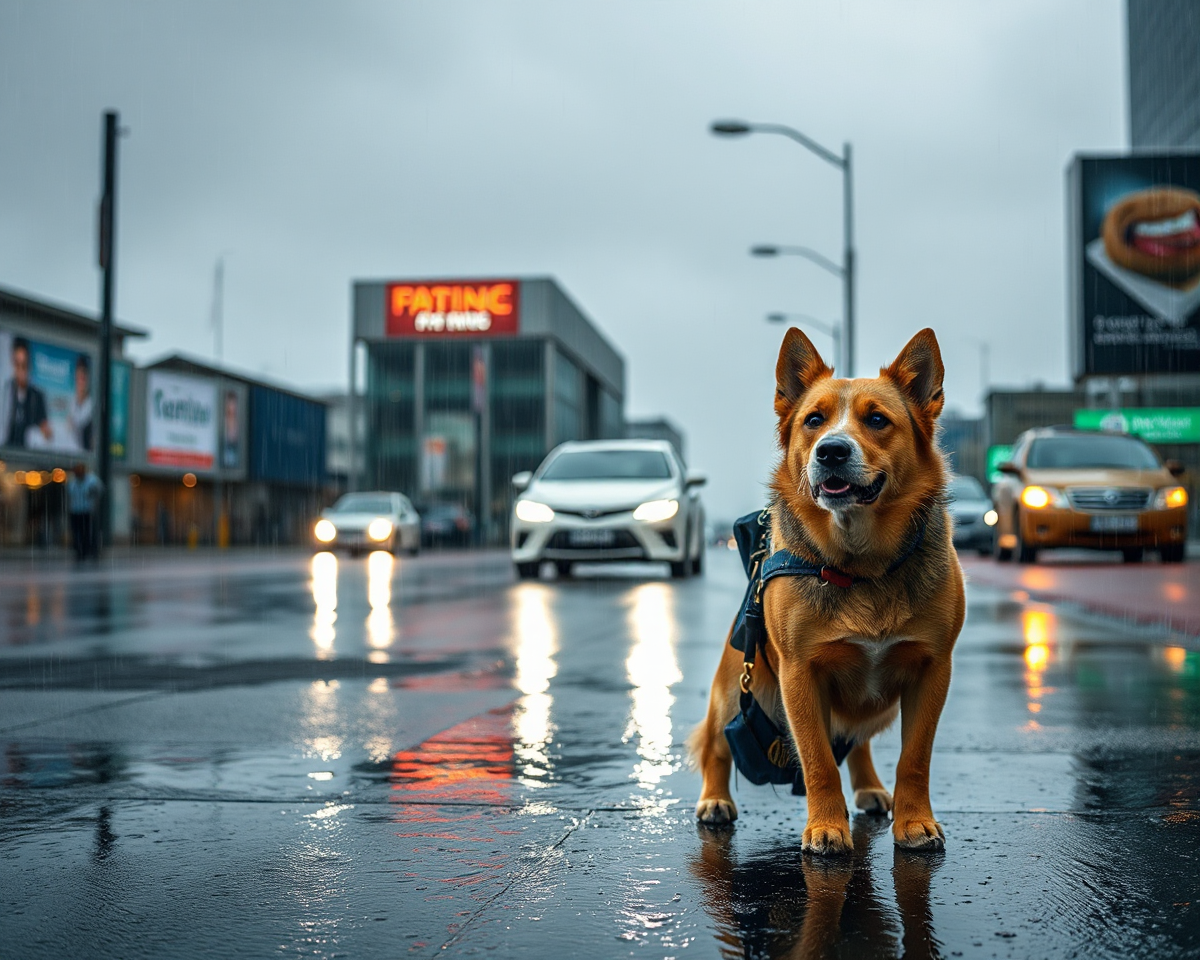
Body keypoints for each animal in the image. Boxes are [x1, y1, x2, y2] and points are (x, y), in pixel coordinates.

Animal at [691, 328, 960, 854]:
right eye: (813, 421)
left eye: (877, 420)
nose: (831, 451)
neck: (860, 566)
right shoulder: (799, 673)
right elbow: (817, 760)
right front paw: (827, 827)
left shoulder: (933, 669)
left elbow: (914, 759)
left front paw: (914, 821)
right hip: (738, 686)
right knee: (716, 744)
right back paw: (714, 798)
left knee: (859, 743)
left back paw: (871, 787)